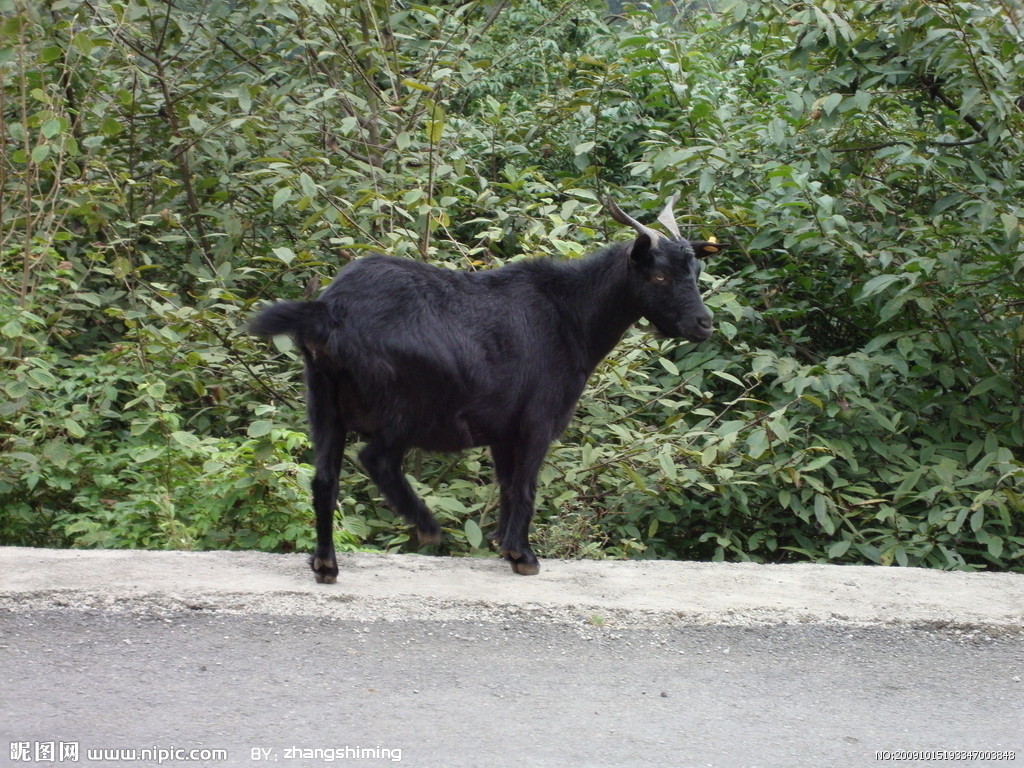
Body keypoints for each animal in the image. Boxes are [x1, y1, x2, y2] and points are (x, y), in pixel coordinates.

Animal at [251, 198, 724, 581]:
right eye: (658, 277)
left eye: (696, 270)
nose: (703, 323)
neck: (569, 314)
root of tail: (330, 310)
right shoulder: (537, 422)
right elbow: (527, 487)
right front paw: (524, 557)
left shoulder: (502, 431)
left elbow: (508, 485)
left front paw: (504, 546)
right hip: (406, 406)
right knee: (376, 459)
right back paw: (426, 527)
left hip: (323, 403)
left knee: (324, 480)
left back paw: (325, 565)